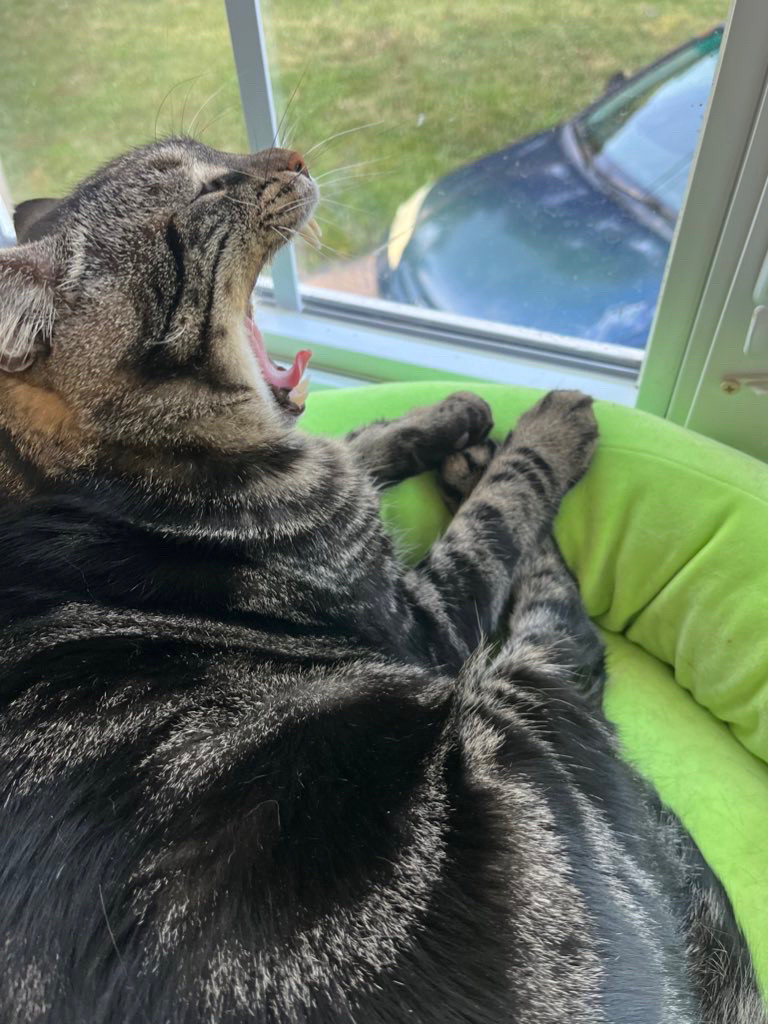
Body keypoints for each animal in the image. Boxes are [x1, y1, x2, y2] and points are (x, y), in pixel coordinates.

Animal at [0, 138, 765, 1024]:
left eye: (214, 151)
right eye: (203, 192)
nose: (291, 155)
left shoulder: (331, 475)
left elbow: (363, 441)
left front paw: (453, 417)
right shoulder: (420, 613)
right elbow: (501, 512)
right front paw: (529, 440)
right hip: (521, 723)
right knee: (568, 638)